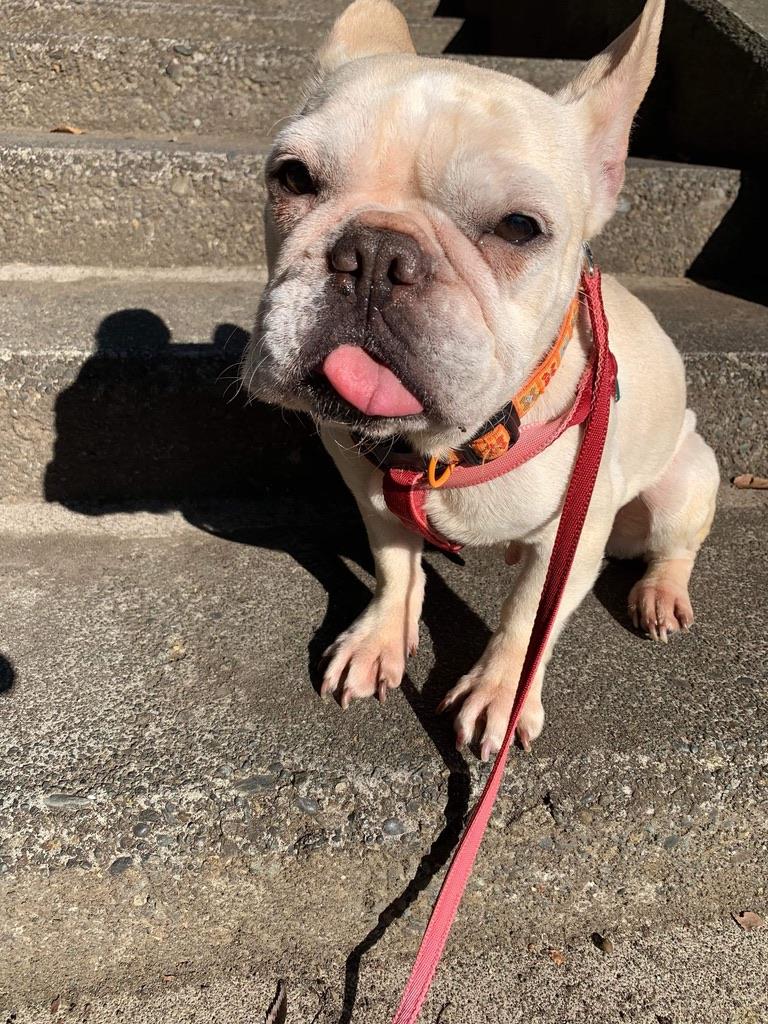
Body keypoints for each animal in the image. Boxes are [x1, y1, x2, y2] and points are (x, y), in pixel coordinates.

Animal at [242, 0, 718, 760]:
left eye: (519, 227)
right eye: (292, 177)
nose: (375, 253)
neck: (441, 448)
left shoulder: (570, 537)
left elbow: (526, 616)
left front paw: (498, 692)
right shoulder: (367, 488)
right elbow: (394, 565)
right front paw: (382, 636)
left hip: (684, 480)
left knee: (675, 545)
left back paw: (660, 594)